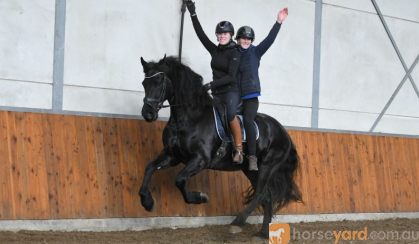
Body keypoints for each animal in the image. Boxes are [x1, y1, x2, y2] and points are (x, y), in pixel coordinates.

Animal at [140, 55, 302, 238]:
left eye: (159, 81)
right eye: (144, 83)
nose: (147, 113)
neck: (190, 118)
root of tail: (283, 131)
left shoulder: (200, 160)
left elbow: (180, 179)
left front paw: (201, 197)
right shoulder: (172, 156)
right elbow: (149, 168)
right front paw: (147, 202)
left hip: (268, 166)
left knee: (261, 194)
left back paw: (238, 222)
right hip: (251, 169)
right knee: (266, 196)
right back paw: (263, 234)